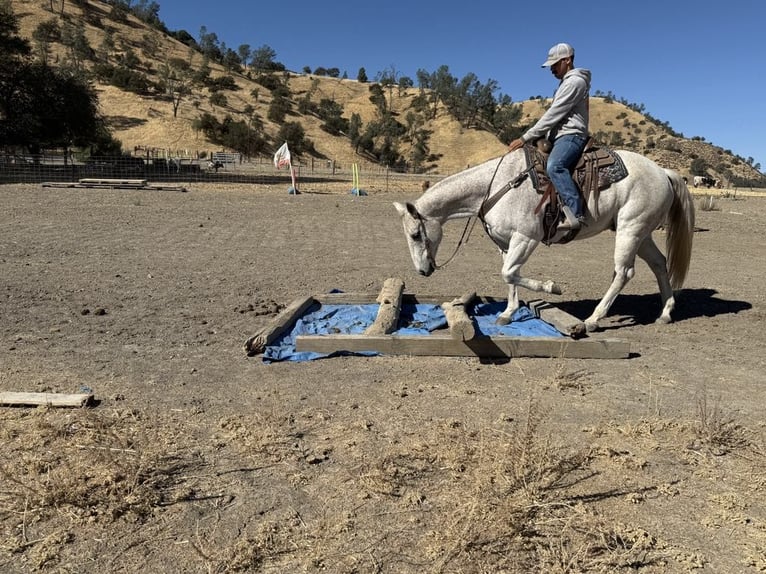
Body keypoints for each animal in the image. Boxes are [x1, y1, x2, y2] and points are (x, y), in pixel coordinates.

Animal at [394, 148, 695, 334]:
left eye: (415, 234)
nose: (423, 271)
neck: (496, 187)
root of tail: (663, 172)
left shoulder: (526, 238)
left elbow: (510, 273)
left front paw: (552, 287)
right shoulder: (505, 243)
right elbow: (509, 276)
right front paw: (508, 313)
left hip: (630, 229)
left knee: (623, 272)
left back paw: (593, 319)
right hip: (642, 233)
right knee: (659, 264)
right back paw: (665, 313)